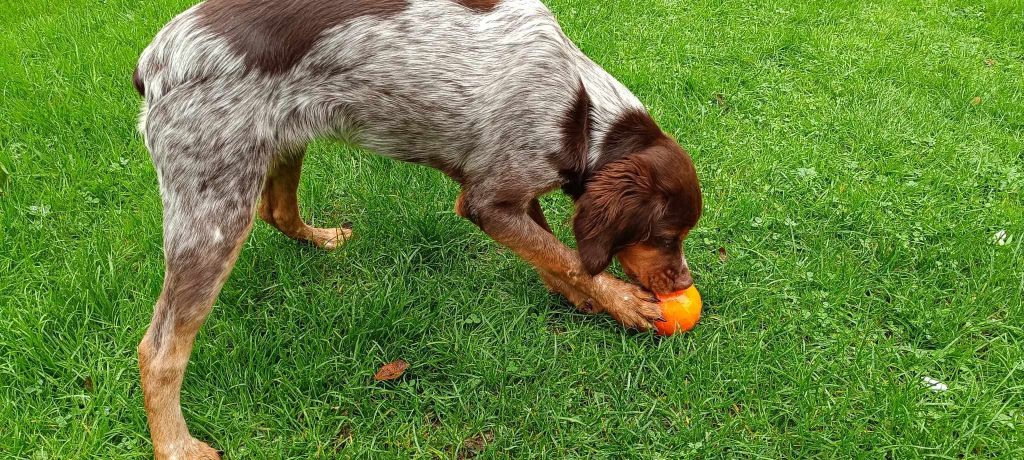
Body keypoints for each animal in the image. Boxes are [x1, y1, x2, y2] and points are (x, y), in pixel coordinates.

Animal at [132, 0, 700, 454]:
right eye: (665, 237)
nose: (683, 283)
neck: (579, 111)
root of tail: (154, 63)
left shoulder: (508, 190)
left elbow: (553, 253)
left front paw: (580, 295)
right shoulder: (487, 201)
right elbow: (570, 258)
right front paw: (622, 302)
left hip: (279, 143)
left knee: (280, 213)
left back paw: (322, 238)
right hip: (214, 212)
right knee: (158, 352)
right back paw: (176, 446)